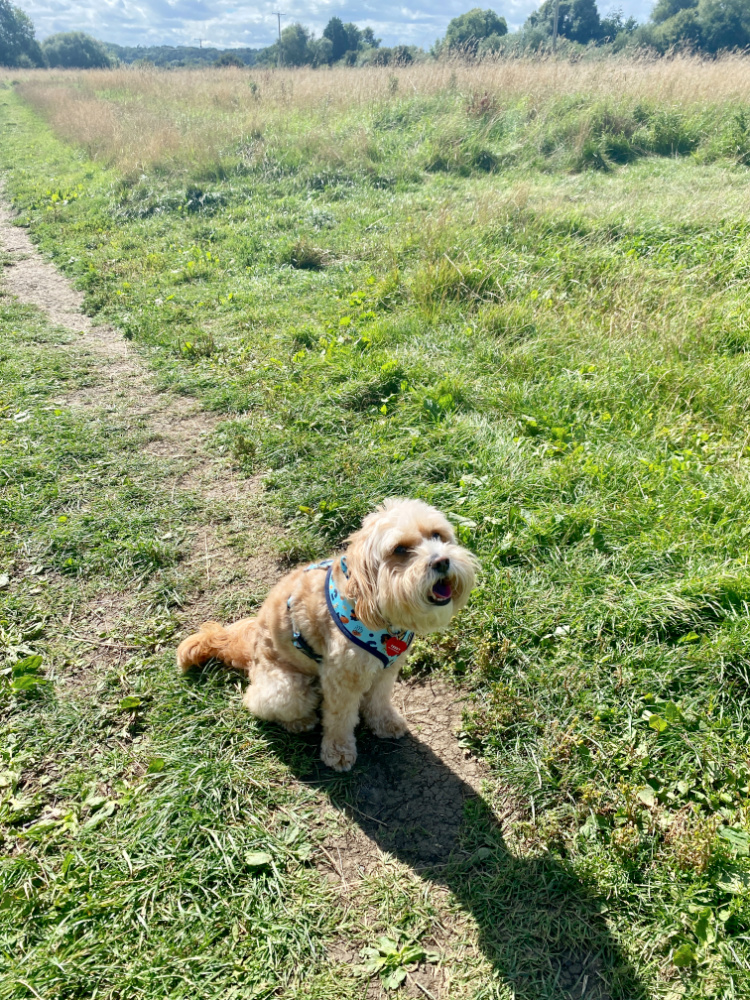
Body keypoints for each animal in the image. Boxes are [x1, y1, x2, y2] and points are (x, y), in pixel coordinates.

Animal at [178, 500, 476, 772]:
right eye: (400, 549)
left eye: (437, 535)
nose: (442, 561)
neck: (372, 608)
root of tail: (250, 652)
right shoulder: (341, 678)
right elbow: (339, 718)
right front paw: (339, 751)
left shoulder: (386, 670)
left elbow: (378, 700)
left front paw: (384, 722)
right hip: (288, 689)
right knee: (257, 702)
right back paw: (299, 721)